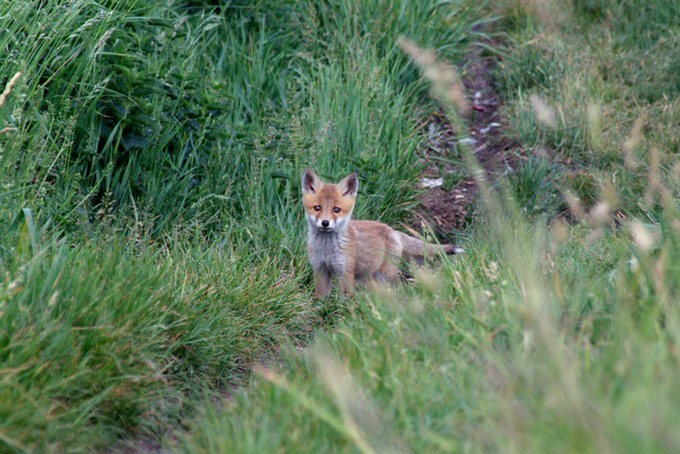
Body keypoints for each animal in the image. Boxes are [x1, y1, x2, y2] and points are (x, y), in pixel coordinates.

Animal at [302, 168, 456, 296]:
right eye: (317, 208)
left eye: (336, 210)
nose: (325, 223)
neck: (327, 249)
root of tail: (392, 230)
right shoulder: (320, 269)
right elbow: (322, 298)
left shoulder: (345, 271)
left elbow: (345, 300)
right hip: (370, 278)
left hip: (386, 276)